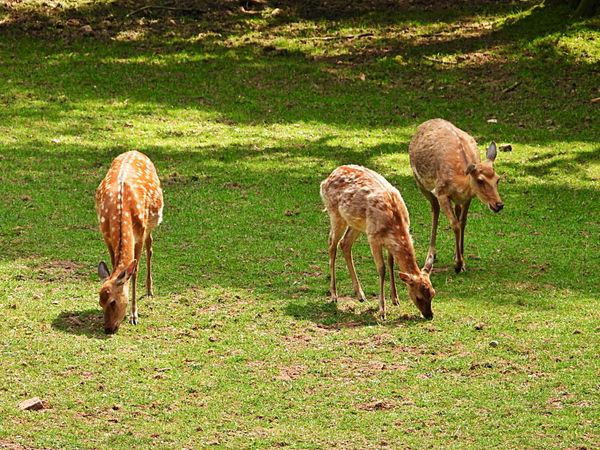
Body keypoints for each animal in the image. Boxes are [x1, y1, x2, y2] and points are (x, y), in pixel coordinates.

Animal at [95, 151, 164, 334]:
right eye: (100, 302)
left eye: (113, 301)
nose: (108, 328)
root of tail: (135, 151)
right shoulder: (106, 236)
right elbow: (114, 265)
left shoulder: (138, 236)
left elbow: (134, 272)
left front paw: (134, 316)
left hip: (149, 225)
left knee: (150, 248)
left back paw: (149, 291)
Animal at [318, 165, 436, 320]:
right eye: (418, 297)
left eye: (433, 294)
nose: (429, 315)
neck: (395, 224)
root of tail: (326, 180)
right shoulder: (373, 237)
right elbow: (382, 268)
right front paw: (382, 311)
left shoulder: (388, 241)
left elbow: (391, 263)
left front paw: (395, 299)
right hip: (336, 214)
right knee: (332, 244)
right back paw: (334, 295)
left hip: (356, 223)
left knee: (345, 243)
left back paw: (360, 295)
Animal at [410, 119, 504, 272]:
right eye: (480, 180)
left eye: (498, 179)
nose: (499, 205)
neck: (459, 182)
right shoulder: (441, 192)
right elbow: (454, 224)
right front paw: (458, 264)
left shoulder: (468, 198)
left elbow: (463, 222)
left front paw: (461, 259)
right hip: (420, 183)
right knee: (435, 210)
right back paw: (430, 257)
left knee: (456, 211)